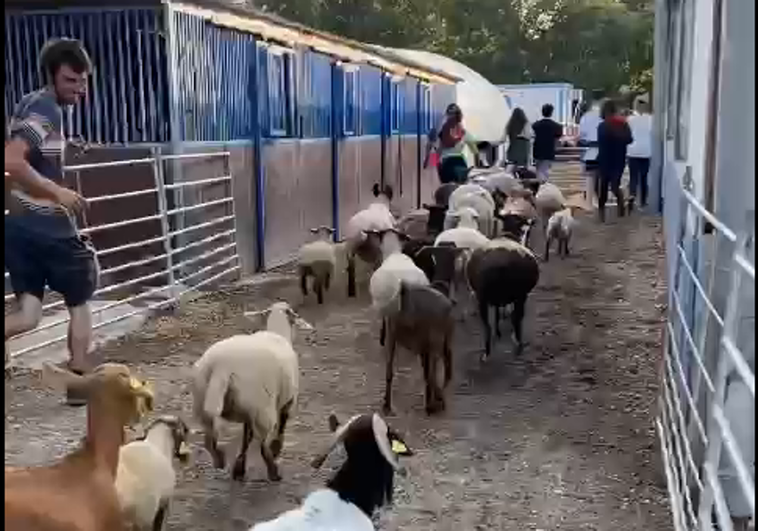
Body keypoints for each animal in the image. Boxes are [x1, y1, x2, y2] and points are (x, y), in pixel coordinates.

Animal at [196, 304, 314, 482]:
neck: (278, 332)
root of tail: (221, 367)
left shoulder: (249, 411)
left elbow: (246, 436)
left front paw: (240, 464)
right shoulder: (288, 400)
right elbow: (281, 426)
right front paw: (276, 448)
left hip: (206, 401)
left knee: (209, 438)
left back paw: (221, 461)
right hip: (263, 408)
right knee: (262, 444)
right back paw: (273, 471)